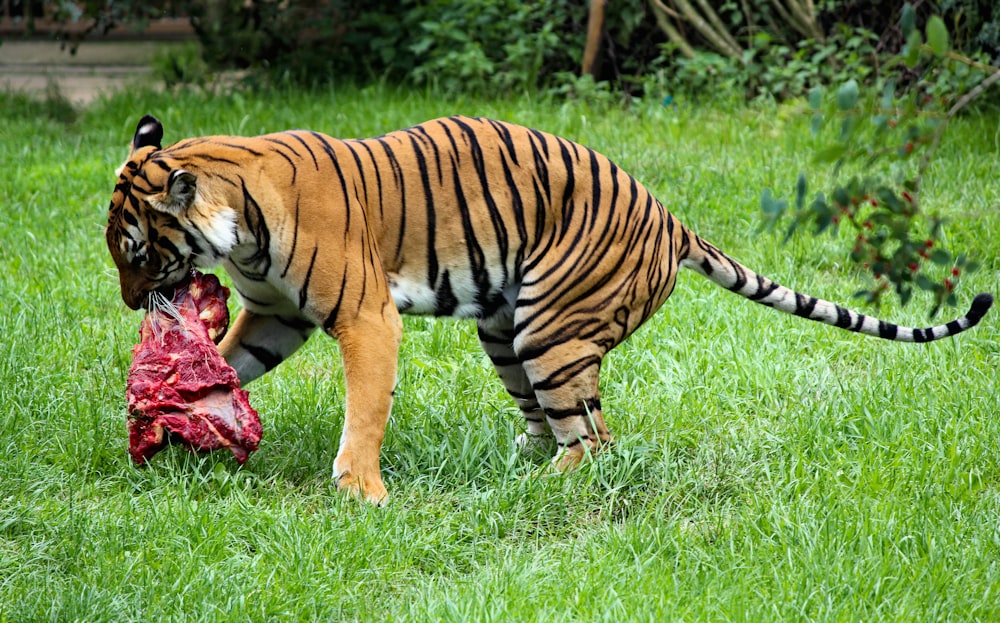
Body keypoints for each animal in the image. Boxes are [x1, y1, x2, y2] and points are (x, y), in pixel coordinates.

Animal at [105, 114, 996, 508]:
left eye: (137, 253)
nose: (130, 301)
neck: (238, 222)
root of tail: (672, 218)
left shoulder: (366, 317)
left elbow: (364, 410)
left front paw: (361, 489)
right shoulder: (275, 315)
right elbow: (230, 368)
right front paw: (173, 412)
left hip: (550, 325)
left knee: (595, 441)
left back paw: (532, 486)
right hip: (504, 327)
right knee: (555, 424)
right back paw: (509, 463)